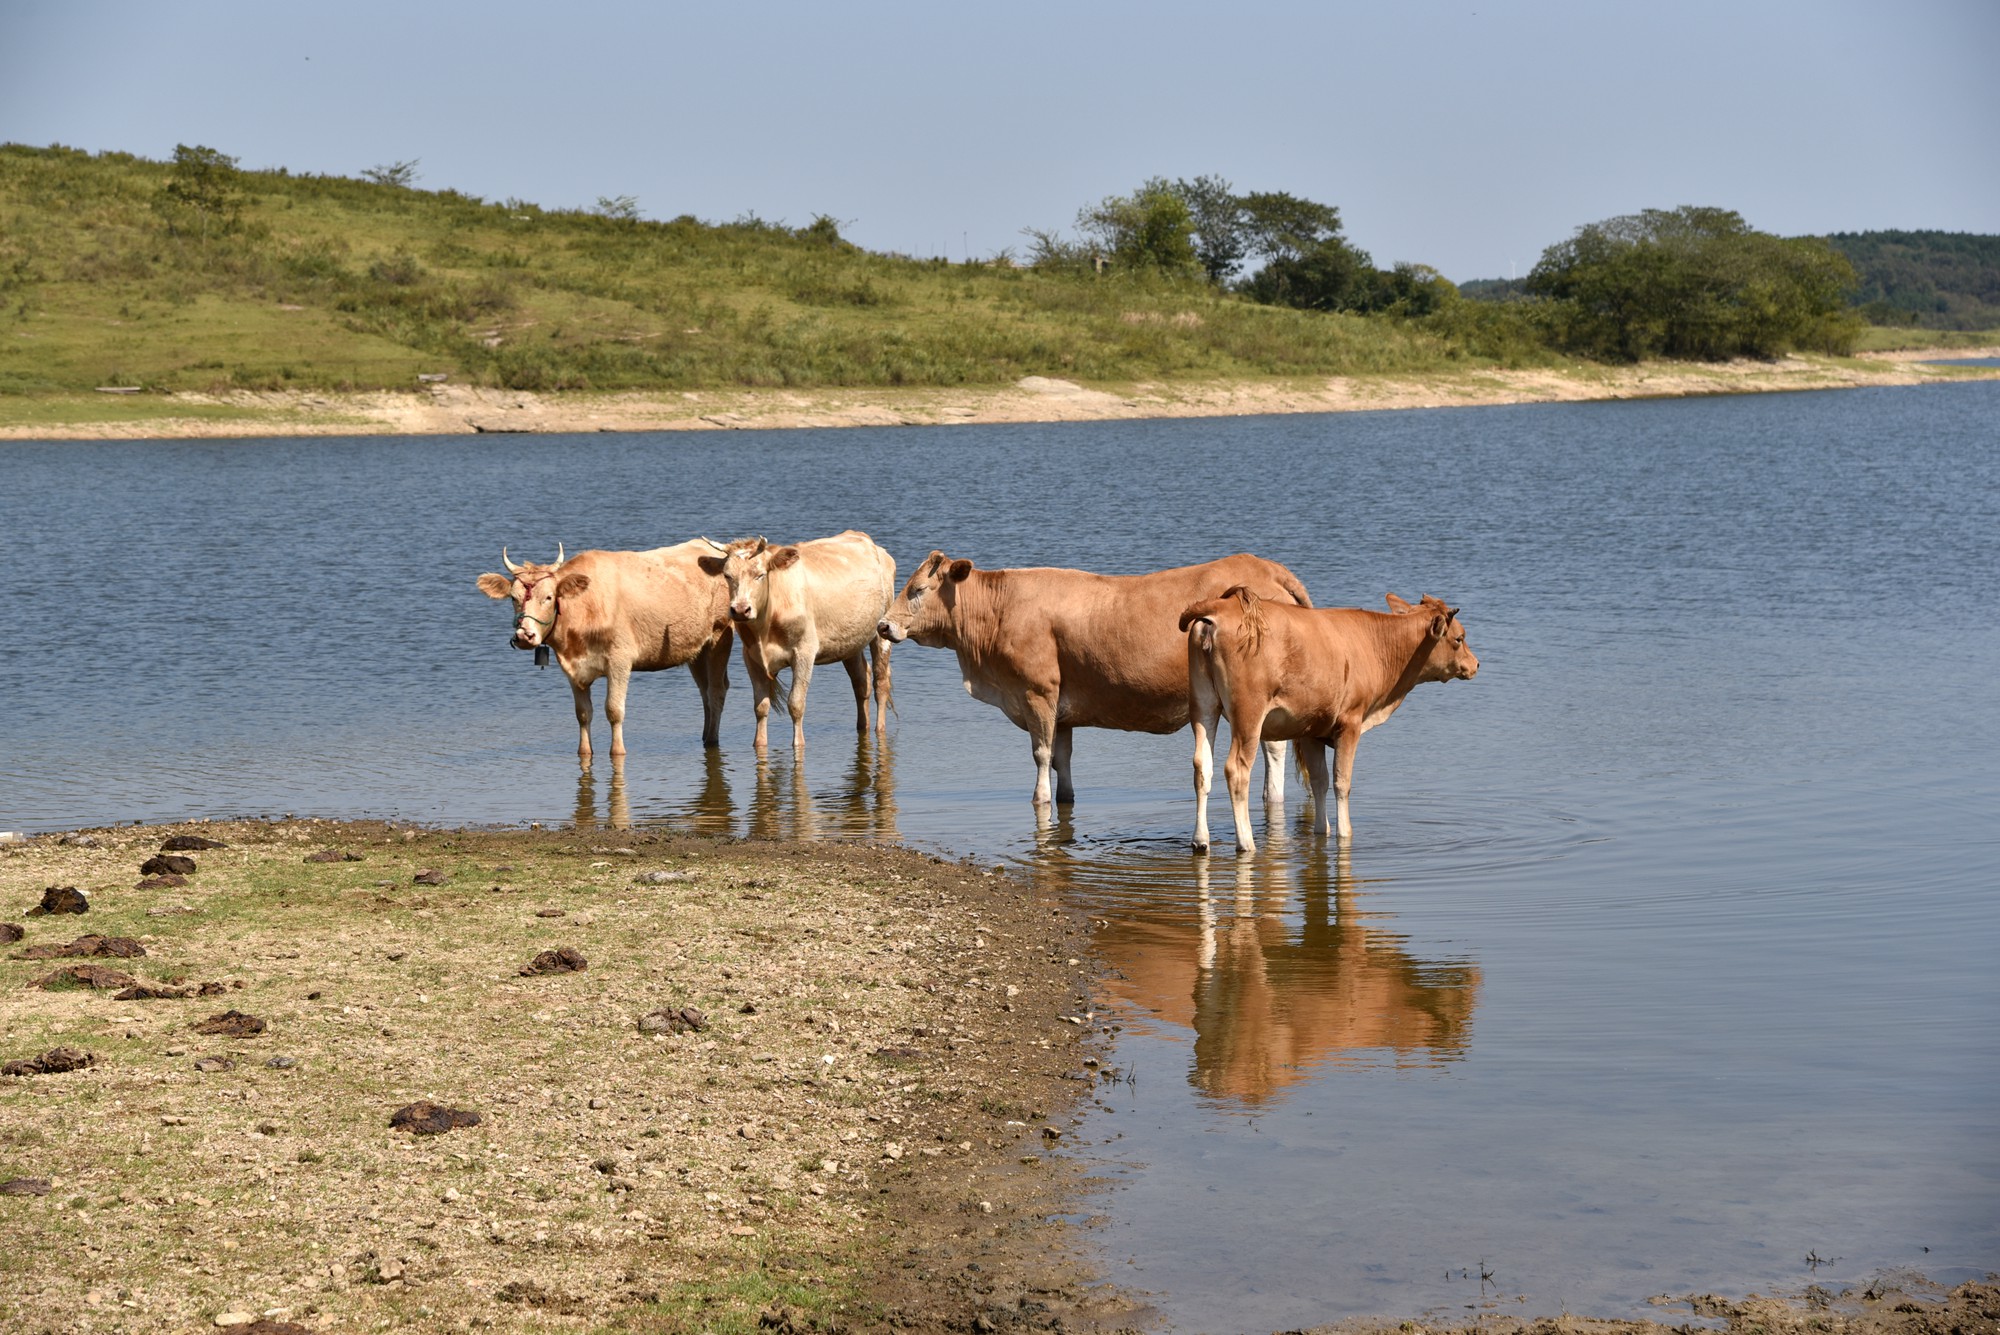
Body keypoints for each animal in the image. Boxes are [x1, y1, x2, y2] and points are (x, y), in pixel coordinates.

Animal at [470, 543, 736, 767]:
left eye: (548, 596)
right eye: (513, 598)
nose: (525, 636)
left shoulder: (620, 660)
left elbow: (614, 710)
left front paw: (617, 751)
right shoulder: (572, 669)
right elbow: (582, 713)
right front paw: (584, 751)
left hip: (719, 637)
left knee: (716, 690)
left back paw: (712, 739)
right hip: (696, 649)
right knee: (704, 691)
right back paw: (705, 734)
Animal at [696, 527, 900, 751]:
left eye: (760, 575)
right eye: (727, 575)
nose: (740, 609)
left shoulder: (805, 652)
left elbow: (796, 703)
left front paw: (798, 744)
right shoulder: (751, 657)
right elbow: (760, 706)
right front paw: (759, 743)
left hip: (882, 632)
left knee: (880, 682)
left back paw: (879, 729)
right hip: (850, 640)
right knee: (861, 680)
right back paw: (863, 725)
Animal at [876, 551, 1312, 807]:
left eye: (918, 589)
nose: (883, 625)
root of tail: (1265, 566)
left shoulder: (1037, 692)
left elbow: (1041, 755)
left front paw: (1040, 799)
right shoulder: (1061, 706)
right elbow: (1061, 758)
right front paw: (1064, 796)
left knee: (1273, 751)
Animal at [1176, 591, 1480, 855]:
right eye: (1459, 638)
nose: (1475, 664)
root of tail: (1220, 607)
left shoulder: (1310, 729)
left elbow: (1319, 781)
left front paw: (1323, 831)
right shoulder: (1350, 722)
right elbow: (1341, 782)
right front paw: (1345, 832)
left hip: (1203, 705)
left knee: (1202, 765)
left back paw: (1200, 840)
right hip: (1248, 712)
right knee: (1236, 770)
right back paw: (1246, 842)